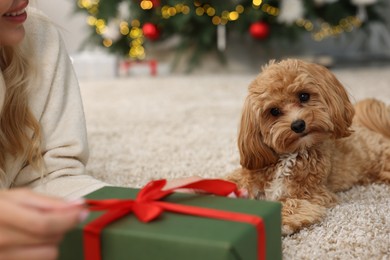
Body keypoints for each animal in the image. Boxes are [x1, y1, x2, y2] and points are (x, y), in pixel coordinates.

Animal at [227, 59, 390, 236]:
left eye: (304, 96)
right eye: (274, 111)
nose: (298, 125)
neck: (290, 156)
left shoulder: (310, 193)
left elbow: (289, 203)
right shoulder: (250, 174)